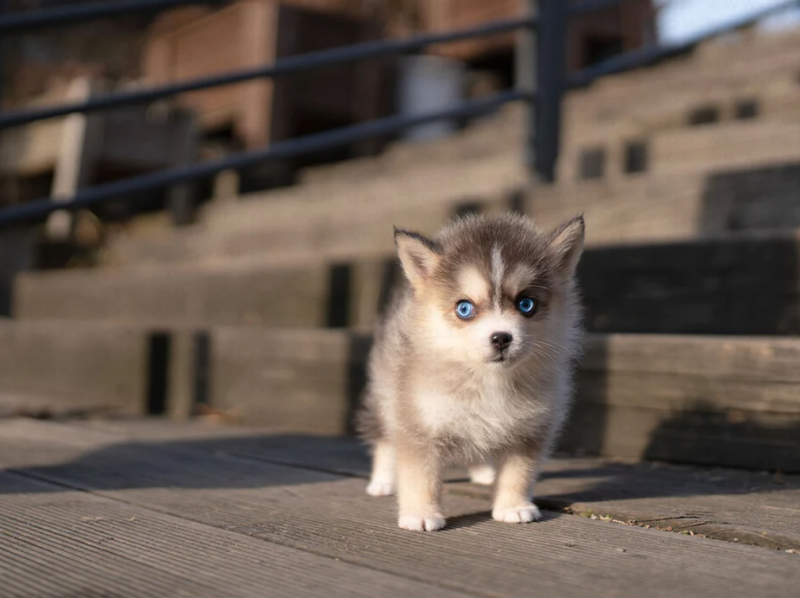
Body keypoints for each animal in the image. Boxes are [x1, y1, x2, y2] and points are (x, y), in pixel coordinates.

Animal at [360, 213, 584, 532]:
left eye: (526, 304)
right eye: (464, 308)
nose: (501, 338)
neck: (487, 380)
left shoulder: (530, 429)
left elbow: (519, 473)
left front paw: (513, 506)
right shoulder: (420, 423)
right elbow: (420, 476)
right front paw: (421, 514)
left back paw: (483, 473)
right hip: (385, 392)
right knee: (384, 438)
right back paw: (382, 480)